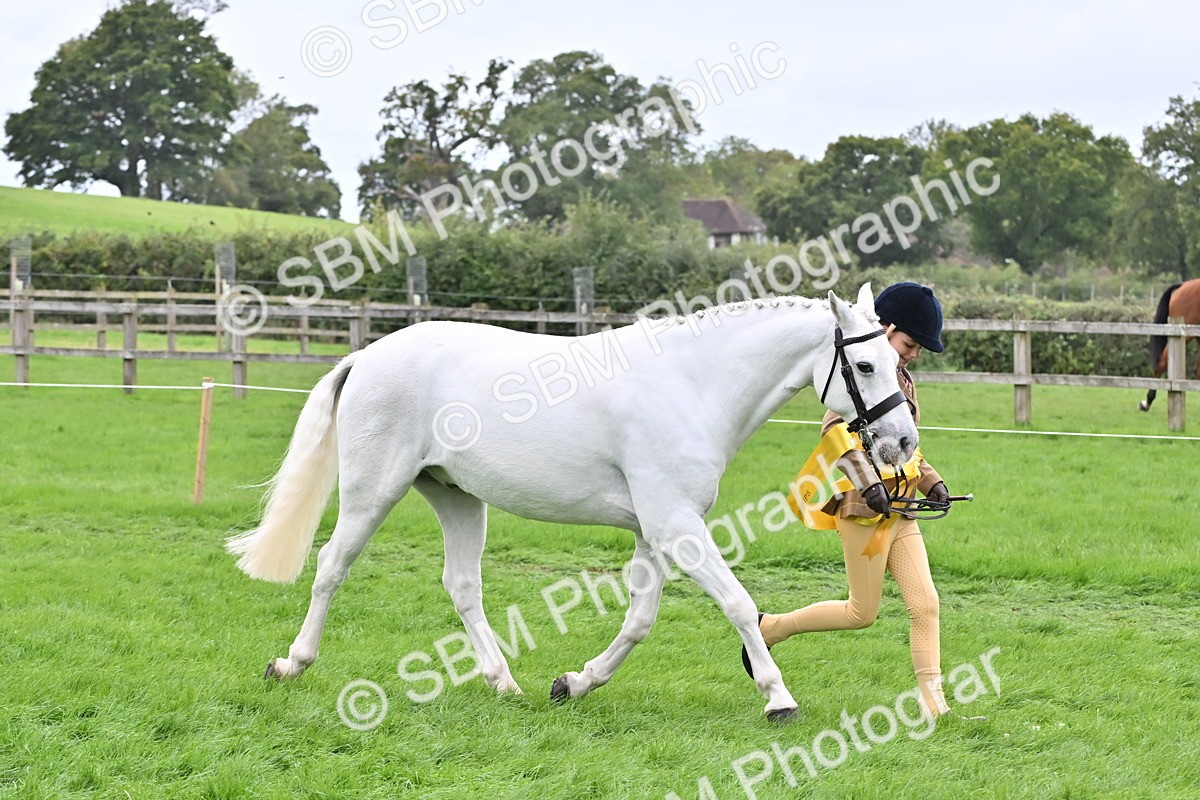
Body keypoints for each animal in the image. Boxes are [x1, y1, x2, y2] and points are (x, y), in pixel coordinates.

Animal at [225, 283, 918, 721]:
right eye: (864, 365)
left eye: (896, 360)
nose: (903, 441)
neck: (692, 386)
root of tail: (366, 355)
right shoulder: (676, 525)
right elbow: (741, 605)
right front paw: (779, 699)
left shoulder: (654, 530)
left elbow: (639, 619)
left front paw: (574, 683)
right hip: (375, 490)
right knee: (331, 566)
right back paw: (291, 664)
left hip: (456, 496)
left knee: (462, 586)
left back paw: (505, 684)